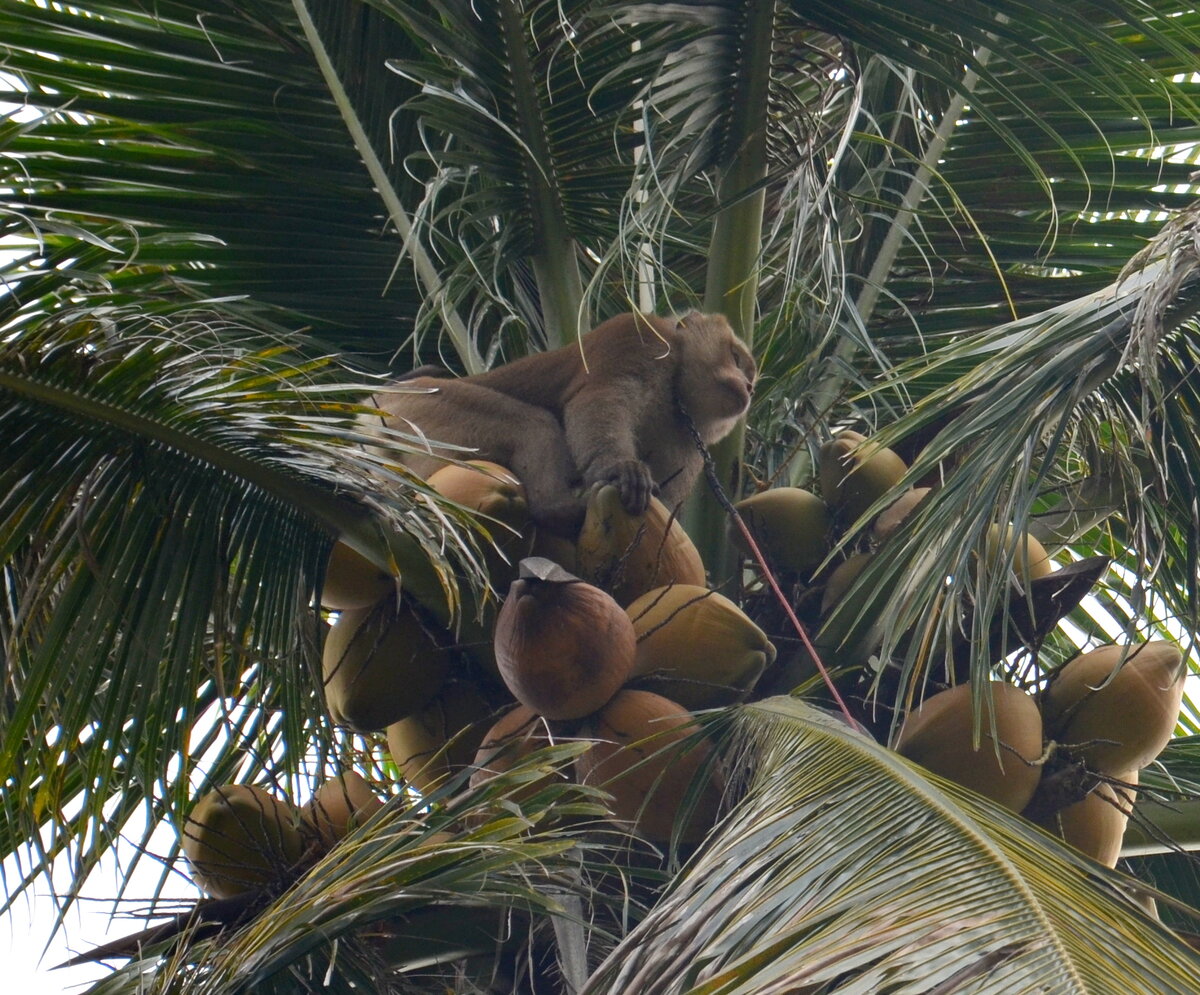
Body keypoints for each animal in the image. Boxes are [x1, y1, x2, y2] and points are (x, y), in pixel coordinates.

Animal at [369, 309, 753, 532]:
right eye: (735, 357)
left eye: (750, 374)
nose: (748, 386)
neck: (676, 394)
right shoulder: (639, 338)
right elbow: (597, 401)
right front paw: (621, 469)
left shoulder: (689, 439)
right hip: (425, 405)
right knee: (533, 424)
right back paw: (556, 507)